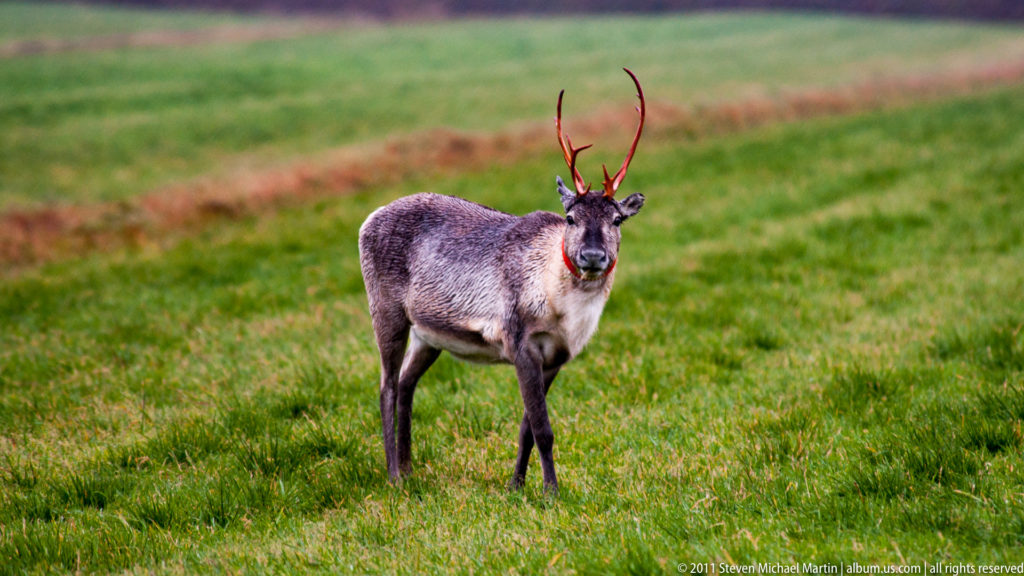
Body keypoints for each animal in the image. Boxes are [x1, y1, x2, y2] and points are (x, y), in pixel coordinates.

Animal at [358, 68, 646, 494]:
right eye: (571, 217)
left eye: (617, 219)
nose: (593, 257)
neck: (563, 309)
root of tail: (369, 218)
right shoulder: (519, 343)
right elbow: (543, 430)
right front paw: (551, 492)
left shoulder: (557, 357)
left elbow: (527, 428)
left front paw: (516, 486)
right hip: (387, 311)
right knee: (387, 386)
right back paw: (394, 475)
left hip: (428, 335)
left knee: (408, 383)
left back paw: (410, 470)